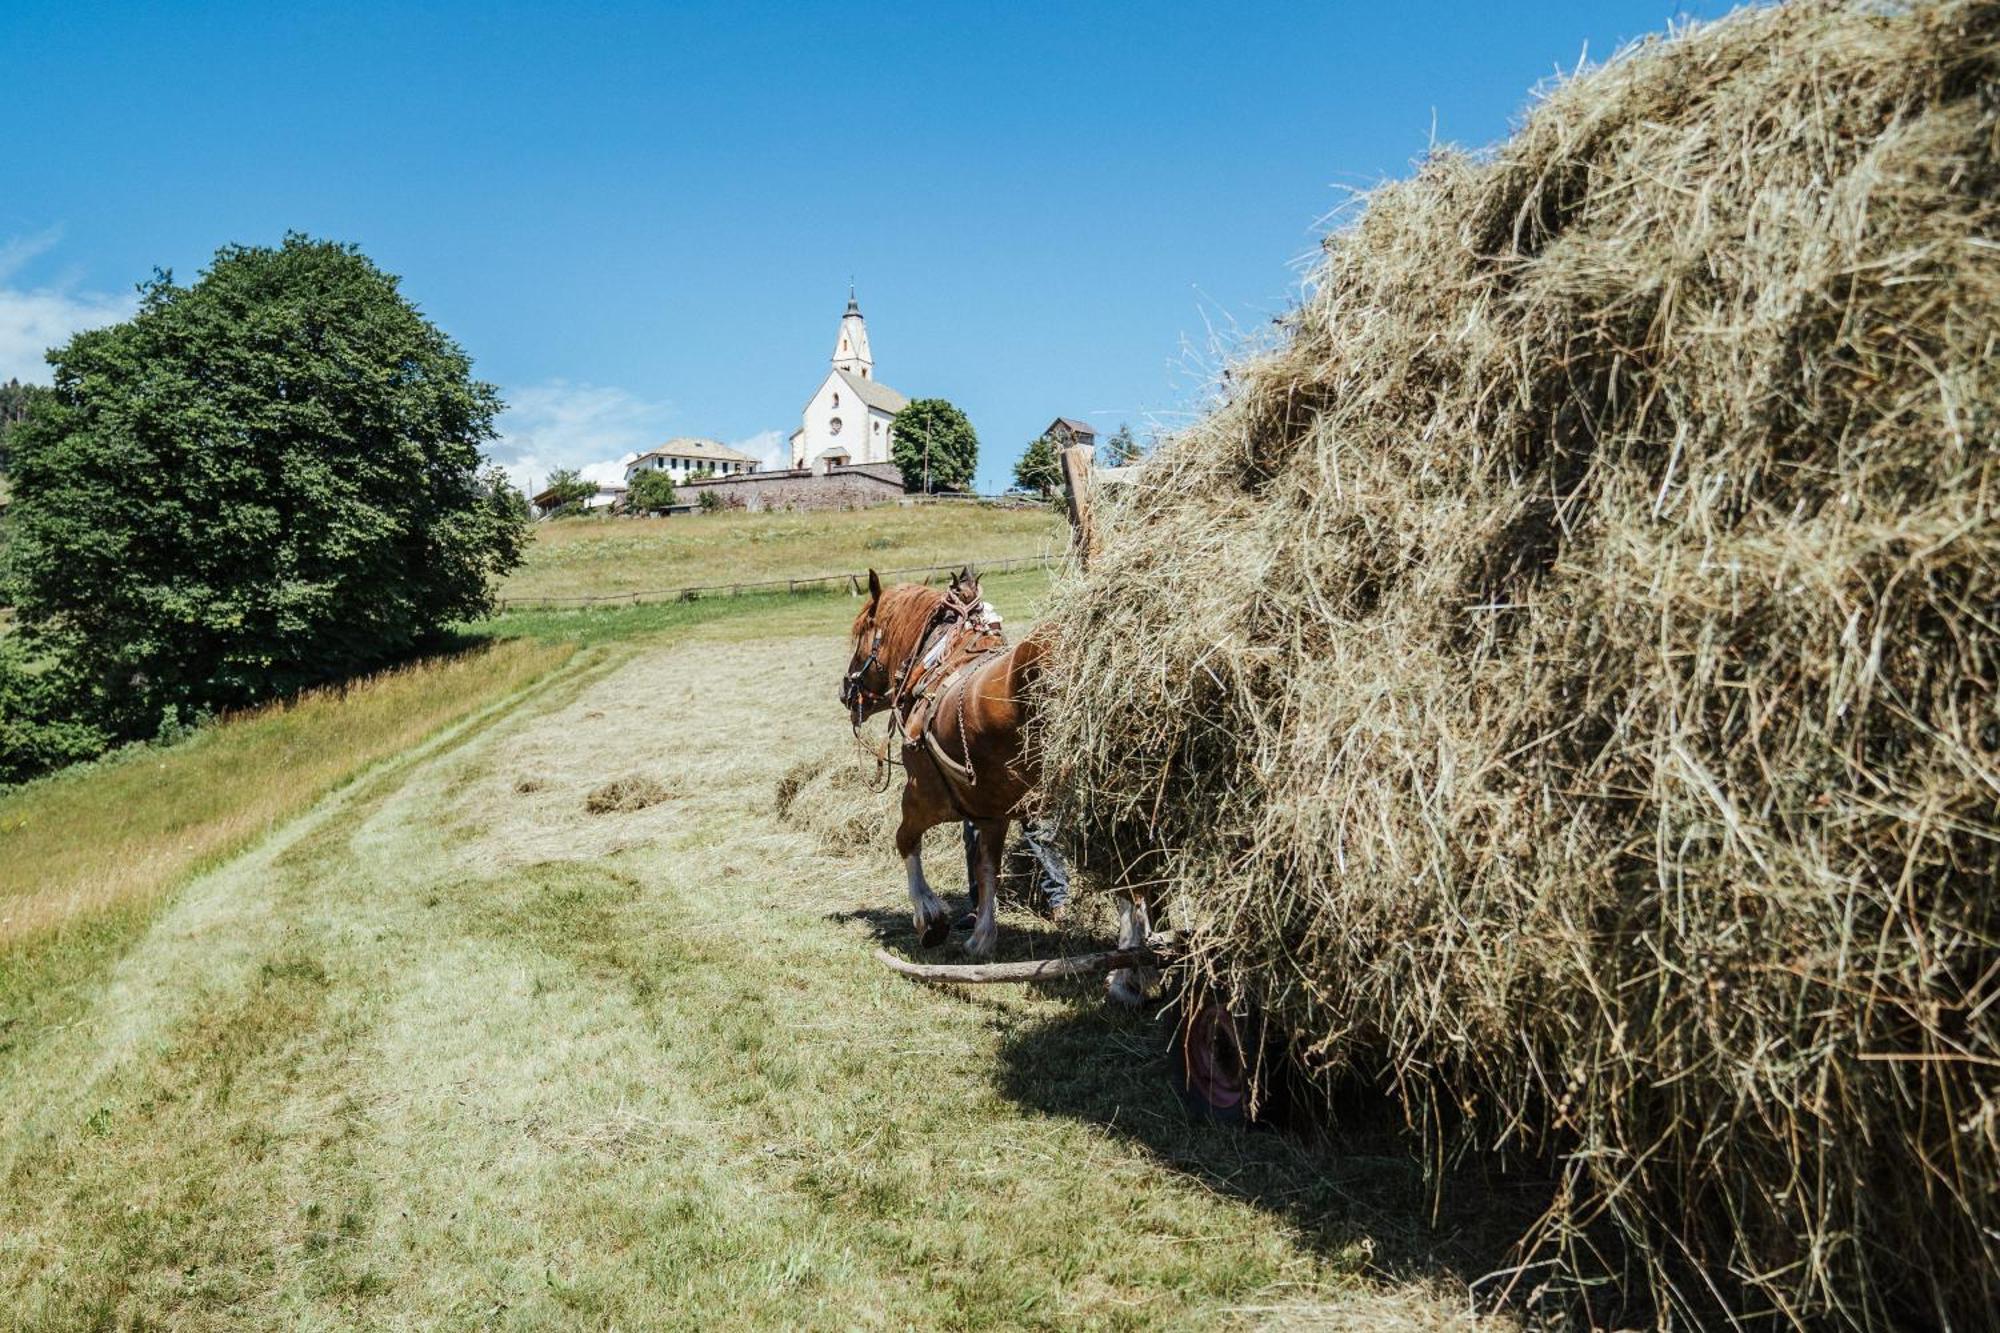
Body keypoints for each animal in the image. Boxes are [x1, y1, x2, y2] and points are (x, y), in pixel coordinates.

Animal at [840, 564, 1160, 996]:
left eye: (861, 633)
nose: (846, 691)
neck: (939, 665)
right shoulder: (992, 812)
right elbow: (987, 868)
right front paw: (982, 936)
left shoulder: (923, 797)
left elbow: (905, 841)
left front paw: (929, 916)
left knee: (1128, 880)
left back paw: (1126, 974)